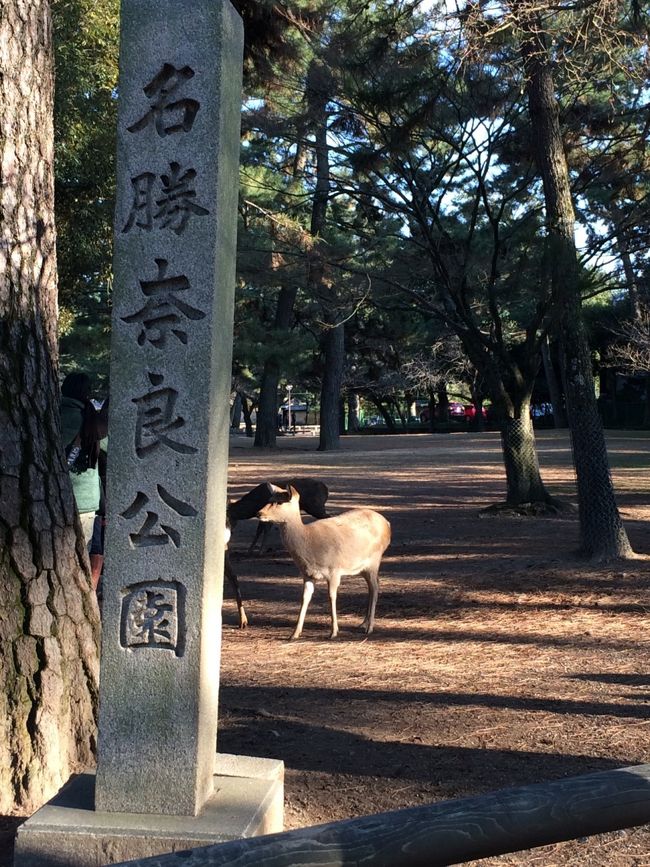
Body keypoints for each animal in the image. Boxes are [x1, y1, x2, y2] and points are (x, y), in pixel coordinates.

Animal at [257, 484, 391, 640]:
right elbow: (305, 598)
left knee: (375, 587)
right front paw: (294, 633)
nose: (259, 513)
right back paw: (363, 623)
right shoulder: (307, 574)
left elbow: (331, 596)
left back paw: (369, 628)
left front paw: (333, 632)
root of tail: (388, 524)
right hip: (362, 567)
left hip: (374, 561)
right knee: (372, 586)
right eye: (269, 499)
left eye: (279, 502)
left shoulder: (334, 571)